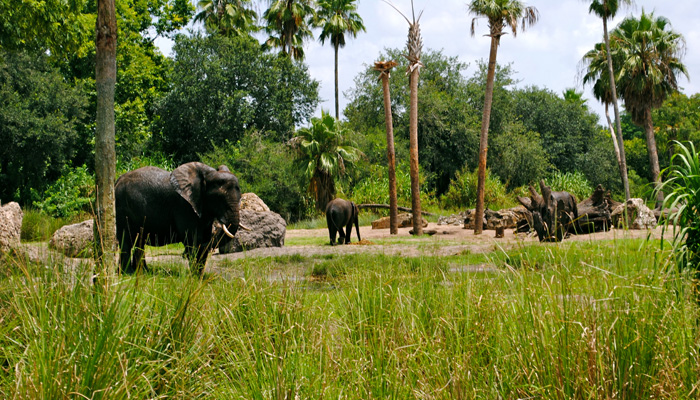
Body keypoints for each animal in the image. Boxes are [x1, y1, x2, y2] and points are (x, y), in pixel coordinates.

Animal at [116, 162, 245, 276]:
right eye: (218, 198)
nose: (183, 255)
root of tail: (117, 180)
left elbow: (202, 240)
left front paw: (198, 277)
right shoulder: (184, 207)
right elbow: (193, 239)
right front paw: (194, 277)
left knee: (139, 241)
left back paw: (143, 272)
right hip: (122, 209)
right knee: (126, 240)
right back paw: (127, 273)